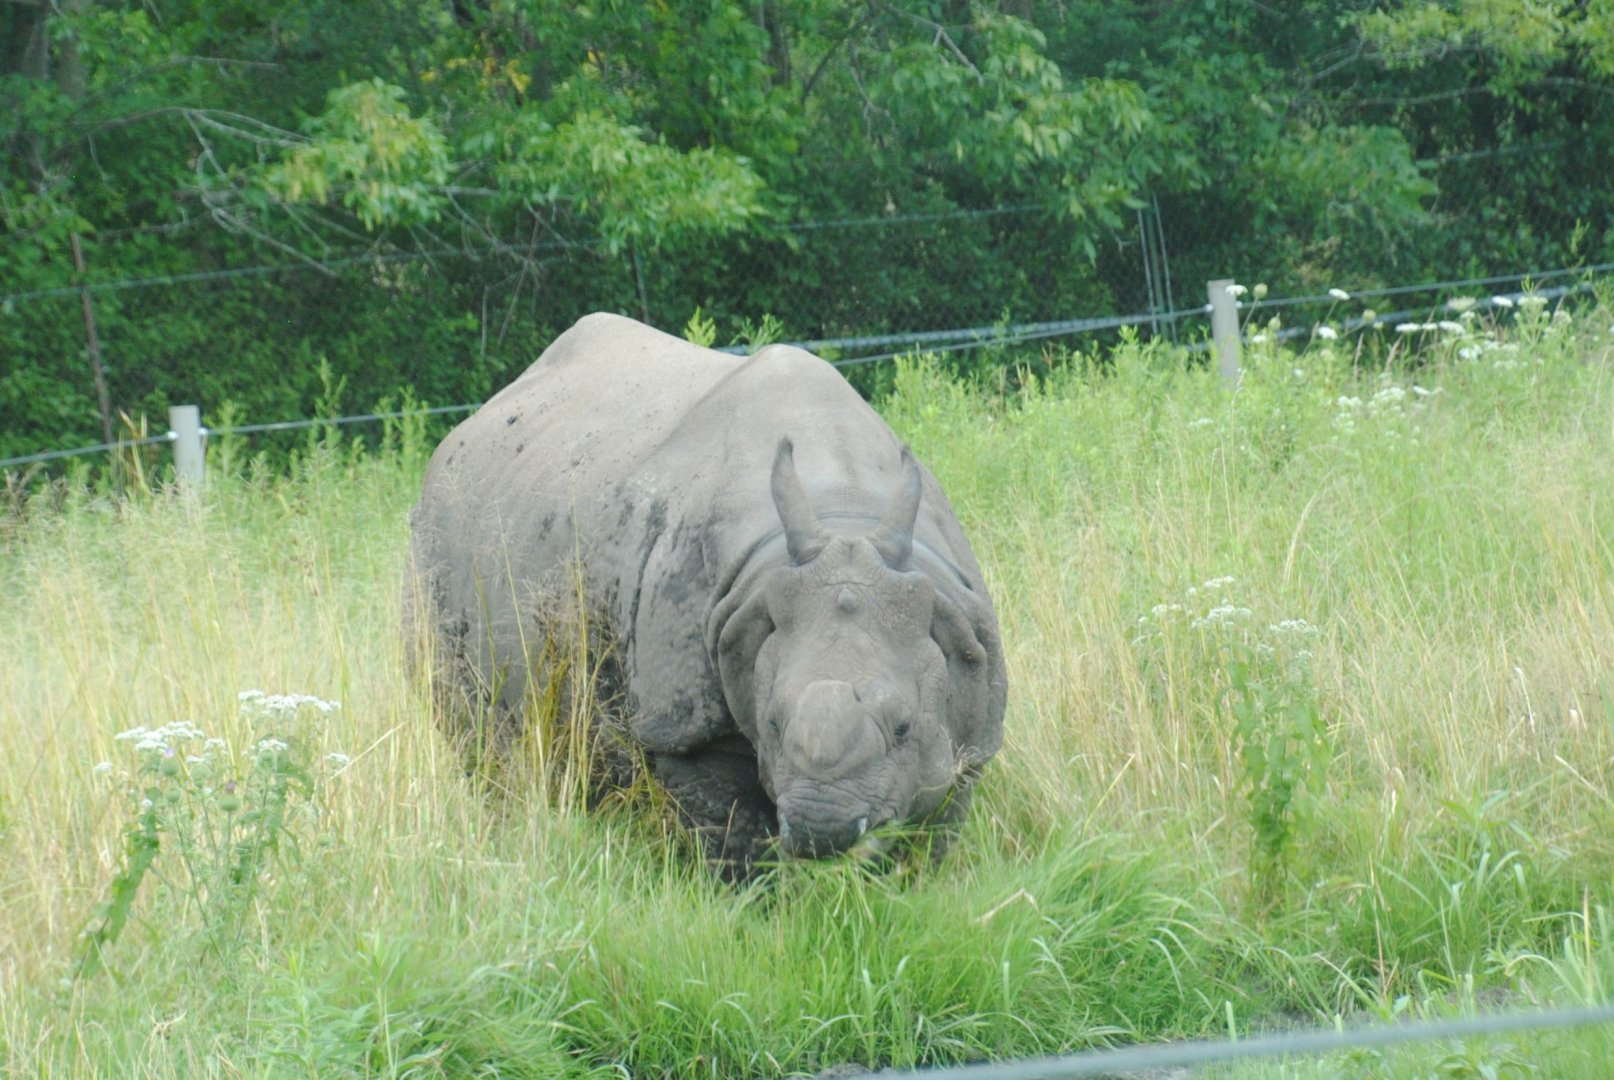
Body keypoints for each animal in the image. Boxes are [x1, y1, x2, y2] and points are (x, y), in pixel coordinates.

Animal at [406, 312, 1006, 878]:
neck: (846, 512)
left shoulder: (969, 719)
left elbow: (930, 831)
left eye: (904, 726)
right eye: (771, 724)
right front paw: (753, 906)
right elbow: (731, 831)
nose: (822, 829)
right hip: (435, 533)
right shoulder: (680, 719)